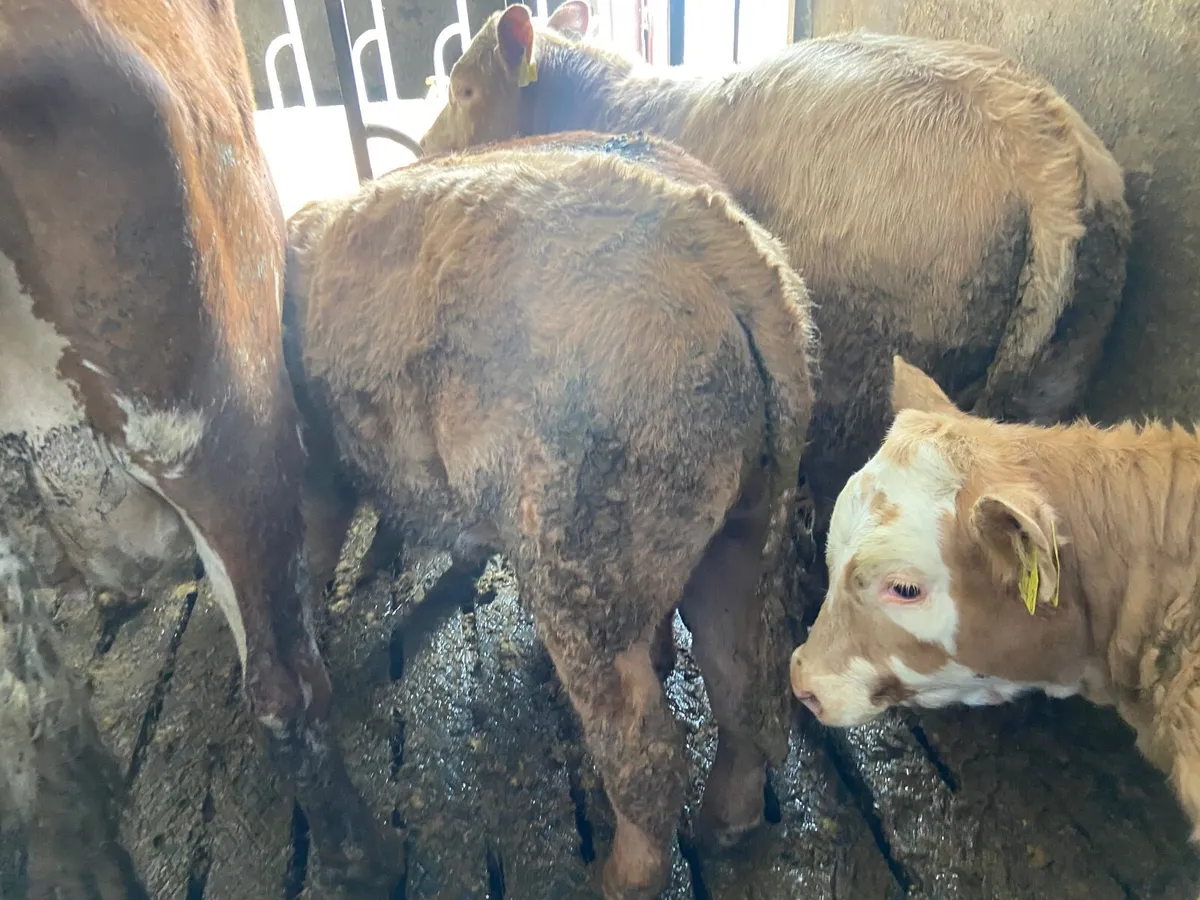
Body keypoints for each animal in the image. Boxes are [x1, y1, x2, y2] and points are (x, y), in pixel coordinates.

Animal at [282, 141, 816, 899]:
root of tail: (731, 258)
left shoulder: (316, 458)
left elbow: (317, 537)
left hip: (584, 550)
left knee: (648, 750)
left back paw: (617, 877)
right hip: (748, 513)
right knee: (748, 689)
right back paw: (724, 828)